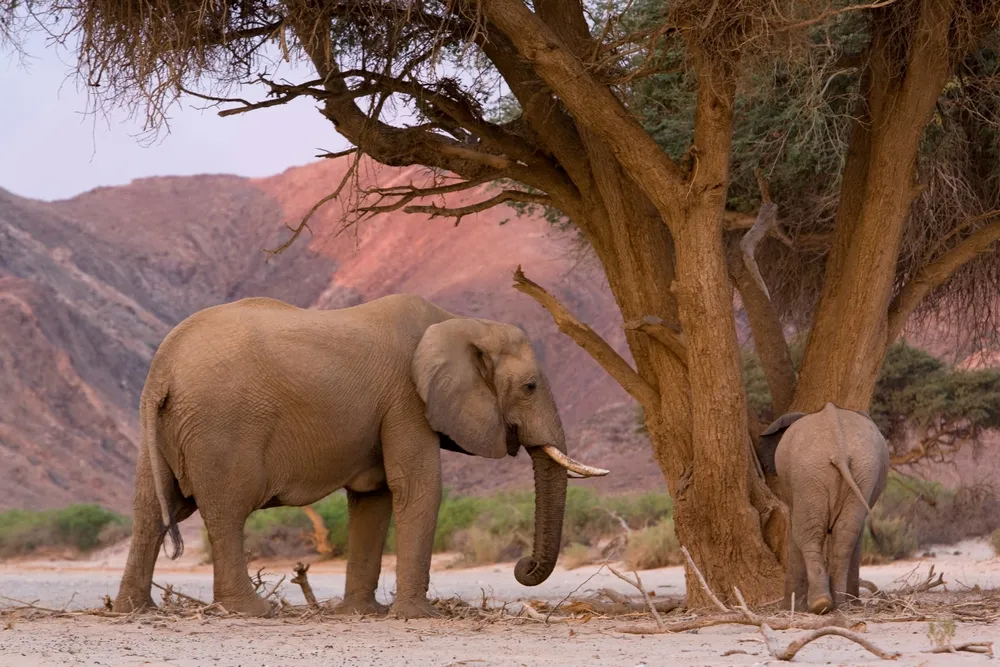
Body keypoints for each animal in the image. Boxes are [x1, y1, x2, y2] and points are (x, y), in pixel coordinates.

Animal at [112, 294, 608, 618]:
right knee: (227, 511)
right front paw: (417, 617)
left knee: (151, 509)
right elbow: (418, 487)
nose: (523, 566)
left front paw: (362, 613)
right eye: (530, 387)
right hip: (220, 423)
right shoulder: (407, 399)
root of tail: (162, 368)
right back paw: (255, 610)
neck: (459, 322)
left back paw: (134, 609)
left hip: (165, 427)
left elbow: (375, 497)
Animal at [756, 402, 889, 615]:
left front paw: (790, 608)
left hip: (808, 474)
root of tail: (839, 450)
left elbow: (795, 534)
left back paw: (821, 604)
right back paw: (839, 604)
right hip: (861, 472)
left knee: (808, 536)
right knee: (845, 536)